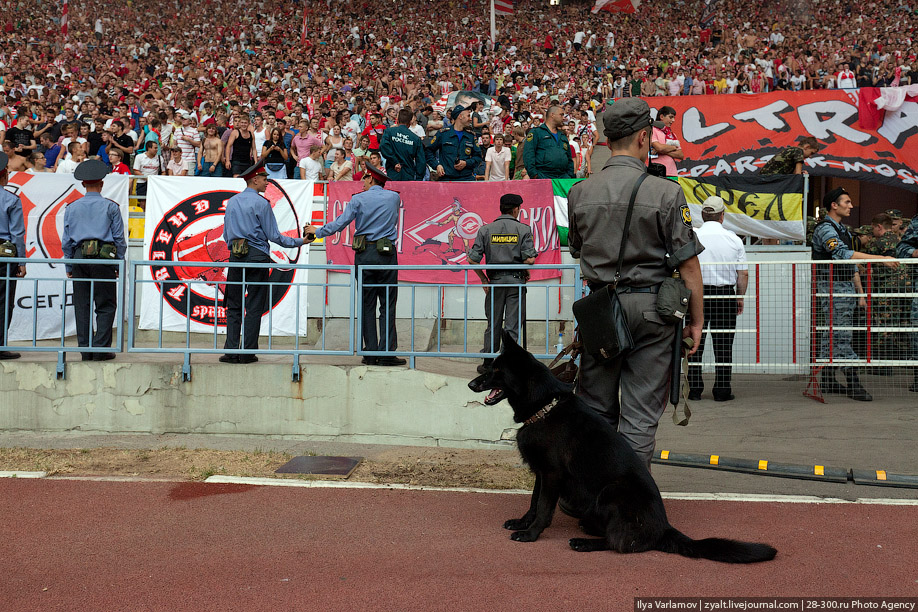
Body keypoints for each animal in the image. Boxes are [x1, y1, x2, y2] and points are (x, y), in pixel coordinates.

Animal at [470, 334, 780, 564]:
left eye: (496, 371)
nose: (472, 382)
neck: (545, 408)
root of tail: (663, 527)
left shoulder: (552, 474)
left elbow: (544, 508)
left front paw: (532, 534)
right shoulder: (541, 473)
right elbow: (534, 503)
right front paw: (523, 523)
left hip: (612, 492)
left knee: (622, 543)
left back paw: (584, 542)